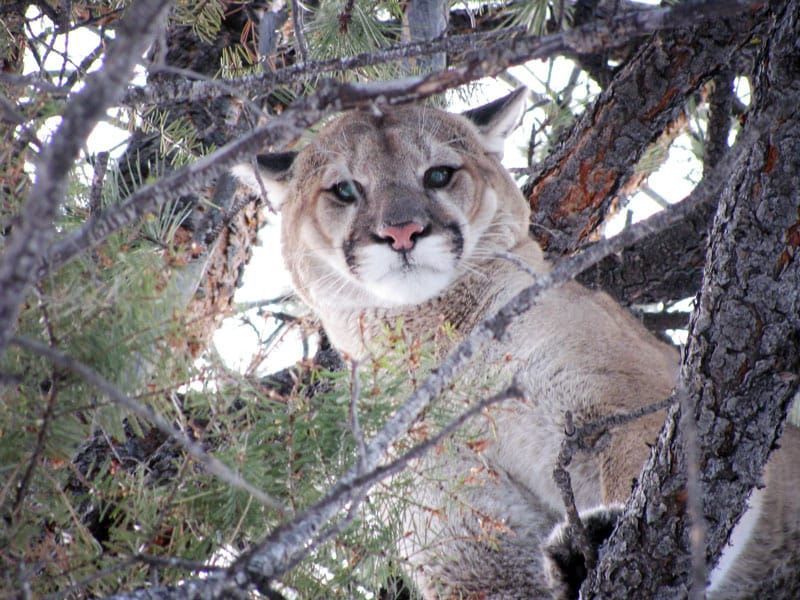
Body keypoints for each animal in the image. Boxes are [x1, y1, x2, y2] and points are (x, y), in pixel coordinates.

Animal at [236, 86, 800, 596]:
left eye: (438, 174)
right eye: (345, 191)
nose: (401, 232)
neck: (433, 341)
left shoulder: (625, 403)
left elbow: (653, 481)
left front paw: (601, 533)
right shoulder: (465, 522)